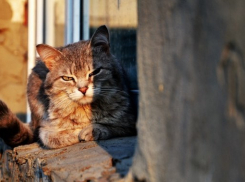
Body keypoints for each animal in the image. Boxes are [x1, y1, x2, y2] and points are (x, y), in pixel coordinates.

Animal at [0, 25, 137, 148]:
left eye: (95, 72)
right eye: (67, 78)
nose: (83, 89)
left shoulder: (129, 121)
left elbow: (114, 126)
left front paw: (92, 130)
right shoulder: (45, 129)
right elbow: (54, 137)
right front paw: (76, 133)